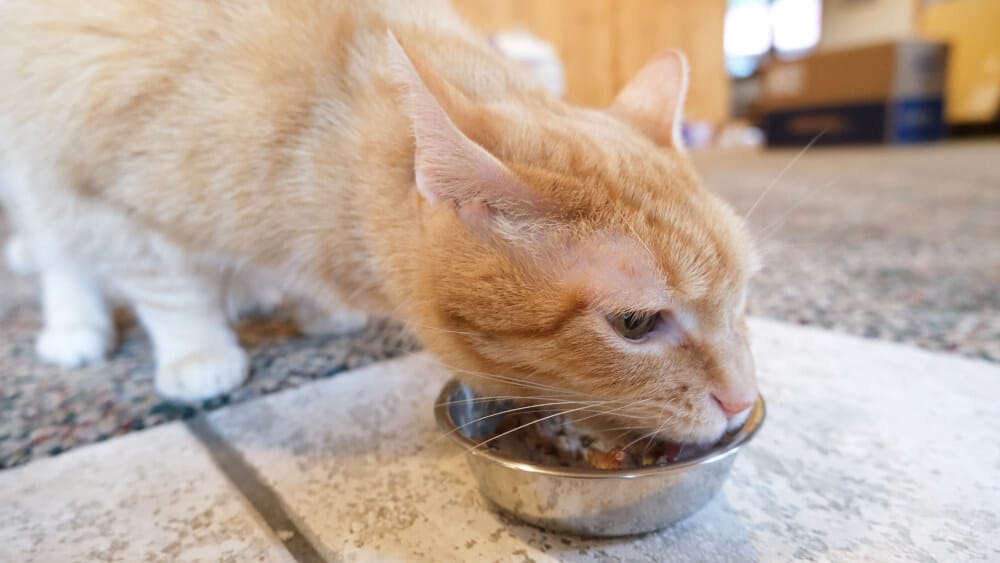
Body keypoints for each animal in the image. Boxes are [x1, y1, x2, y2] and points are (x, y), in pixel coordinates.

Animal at [0, 0, 760, 448]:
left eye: (742, 300)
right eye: (635, 324)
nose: (743, 397)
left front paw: (310, 304)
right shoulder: (106, 190)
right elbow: (168, 287)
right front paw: (198, 353)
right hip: (35, 161)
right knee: (57, 248)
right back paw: (76, 328)